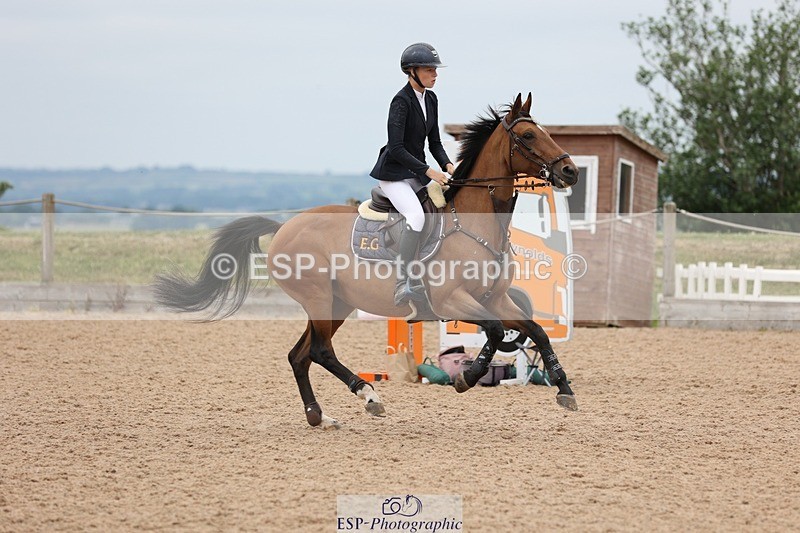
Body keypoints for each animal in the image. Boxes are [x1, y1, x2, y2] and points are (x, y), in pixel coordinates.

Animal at [154, 93, 580, 429]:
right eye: (529, 136)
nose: (570, 170)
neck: (476, 222)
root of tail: (284, 226)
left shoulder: (496, 298)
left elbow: (535, 331)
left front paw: (564, 388)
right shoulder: (452, 300)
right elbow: (493, 331)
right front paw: (468, 376)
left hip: (336, 303)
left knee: (300, 355)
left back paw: (319, 416)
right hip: (319, 298)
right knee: (320, 352)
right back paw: (368, 395)